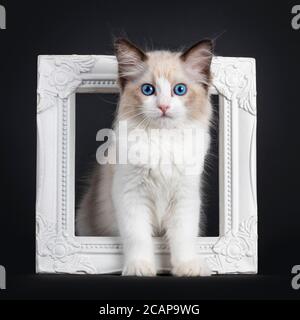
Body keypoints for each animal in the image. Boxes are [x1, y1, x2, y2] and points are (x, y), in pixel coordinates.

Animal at [77, 38, 213, 276]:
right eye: (148, 90)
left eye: (180, 90)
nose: (163, 106)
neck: (162, 141)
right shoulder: (131, 195)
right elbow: (138, 238)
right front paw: (140, 267)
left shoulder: (184, 197)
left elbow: (183, 238)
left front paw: (187, 267)